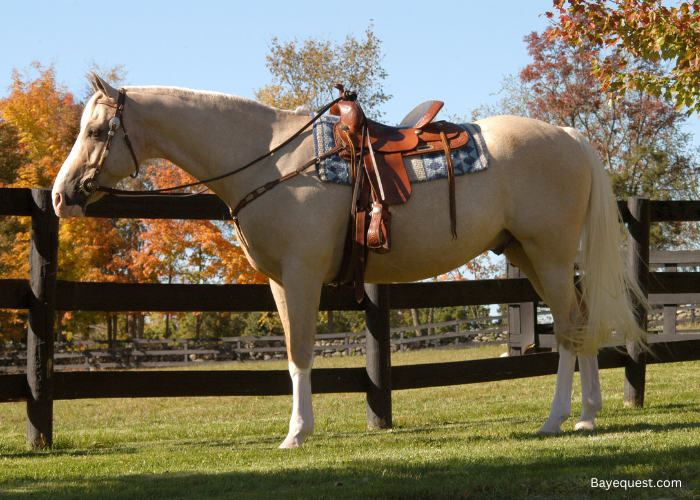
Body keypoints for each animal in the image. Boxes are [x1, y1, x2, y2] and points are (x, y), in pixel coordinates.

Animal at [52, 74, 648, 450]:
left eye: (97, 131)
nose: (60, 196)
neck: (271, 160)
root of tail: (568, 135)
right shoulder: (279, 283)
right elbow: (294, 355)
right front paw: (299, 429)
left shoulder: (301, 276)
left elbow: (300, 353)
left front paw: (296, 434)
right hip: (529, 254)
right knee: (579, 324)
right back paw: (585, 415)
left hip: (549, 255)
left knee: (569, 329)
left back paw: (559, 419)